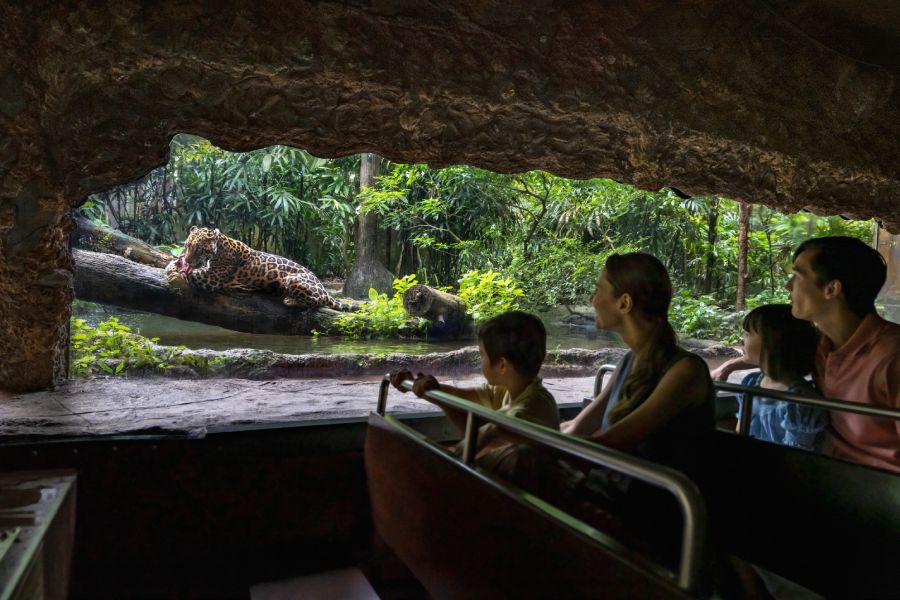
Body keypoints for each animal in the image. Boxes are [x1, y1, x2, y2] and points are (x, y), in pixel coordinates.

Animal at [171, 225, 354, 310]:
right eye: (186, 246)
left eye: (198, 249)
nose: (187, 260)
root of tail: (325, 290)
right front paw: (177, 263)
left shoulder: (212, 277)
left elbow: (194, 273)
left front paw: (173, 270)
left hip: (292, 279)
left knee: (315, 302)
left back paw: (290, 300)